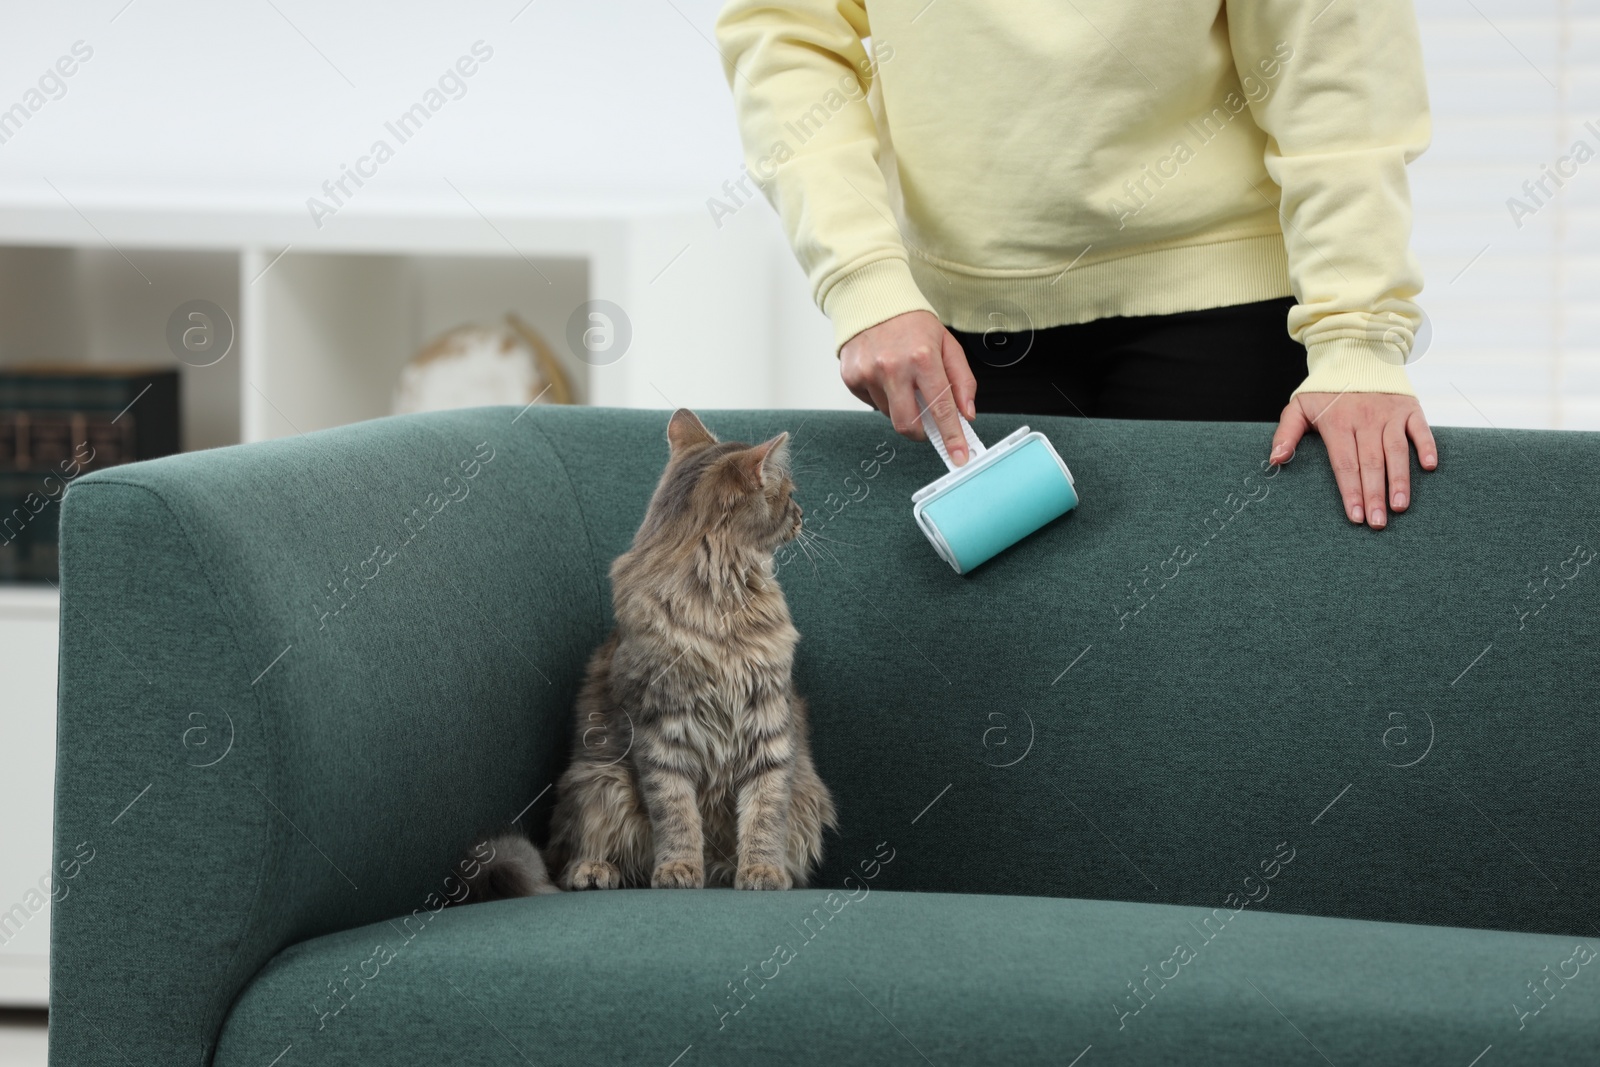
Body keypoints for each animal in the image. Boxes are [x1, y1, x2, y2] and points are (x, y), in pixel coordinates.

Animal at [464, 409, 838, 902]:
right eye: (790, 495)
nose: (801, 515)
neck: (721, 603)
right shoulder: (661, 732)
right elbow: (676, 814)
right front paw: (678, 868)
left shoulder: (770, 725)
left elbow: (764, 812)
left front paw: (761, 871)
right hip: (600, 780)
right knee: (572, 861)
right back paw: (596, 870)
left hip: (805, 794)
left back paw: (724, 871)